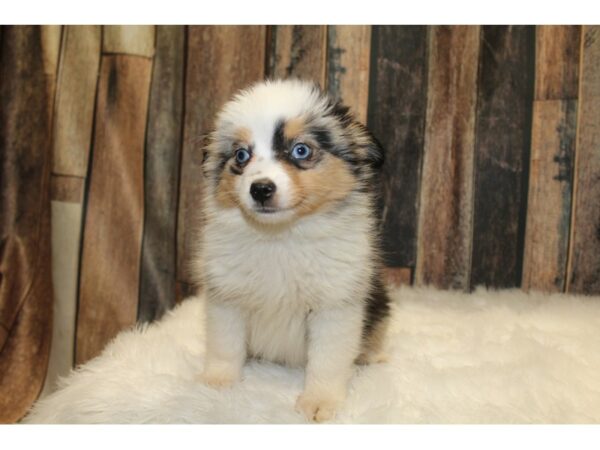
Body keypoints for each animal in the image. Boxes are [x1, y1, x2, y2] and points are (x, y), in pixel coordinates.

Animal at [197, 78, 392, 422]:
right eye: (241, 155)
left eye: (301, 150)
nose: (260, 189)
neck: (281, 237)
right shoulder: (227, 297)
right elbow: (224, 346)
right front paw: (217, 384)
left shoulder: (335, 305)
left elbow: (327, 361)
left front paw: (320, 402)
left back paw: (373, 355)